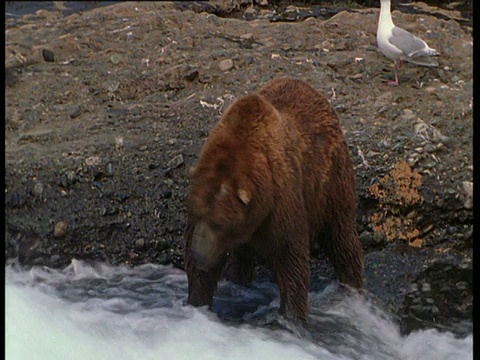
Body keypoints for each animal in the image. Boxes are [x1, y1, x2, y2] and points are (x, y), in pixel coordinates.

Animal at [185, 77, 364, 324]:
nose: (199, 255)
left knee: (341, 236)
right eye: (196, 213)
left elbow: (291, 259)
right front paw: (197, 301)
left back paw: (353, 287)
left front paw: (292, 316)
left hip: (331, 182)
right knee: (241, 259)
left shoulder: (282, 201)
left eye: (218, 223)